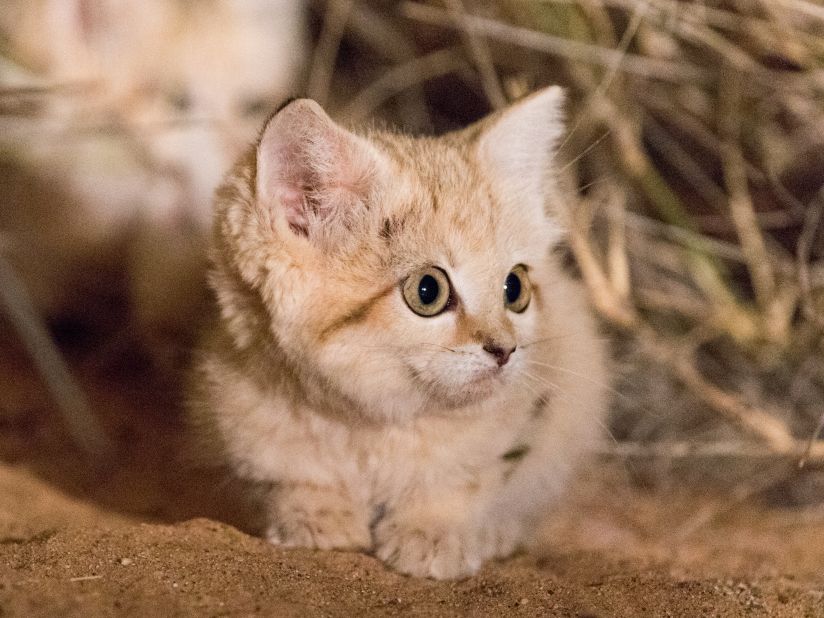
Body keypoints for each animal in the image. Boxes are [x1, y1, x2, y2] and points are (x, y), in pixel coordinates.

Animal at [190, 88, 608, 576]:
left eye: (515, 287)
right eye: (428, 291)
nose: (505, 350)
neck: (369, 427)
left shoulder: (528, 419)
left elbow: (465, 480)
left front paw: (433, 532)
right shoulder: (241, 418)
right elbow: (291, 478)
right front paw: (315, 516)